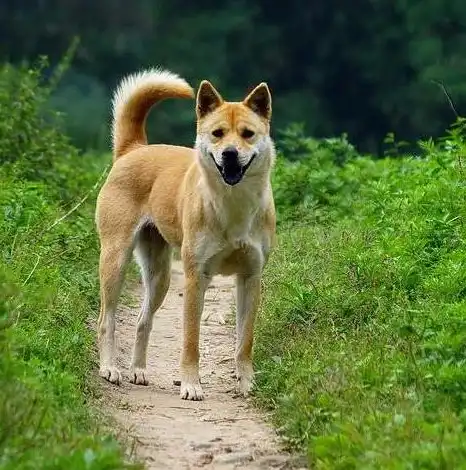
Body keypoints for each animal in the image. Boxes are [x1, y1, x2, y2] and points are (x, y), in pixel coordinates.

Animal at [95, 69, 276, 400]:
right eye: (217, 133)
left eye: (247, 133)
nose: (230, 154)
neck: (233, 204)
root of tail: (135, 148)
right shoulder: (195, 277)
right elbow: (191, 340)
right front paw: (191, 384)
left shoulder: (251, 277)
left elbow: (244, 341)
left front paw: (246, 383)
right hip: (115, 260)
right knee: (106, 319)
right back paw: (110, 368)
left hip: (160, 277)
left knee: (142, 321)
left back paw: (138, 370)